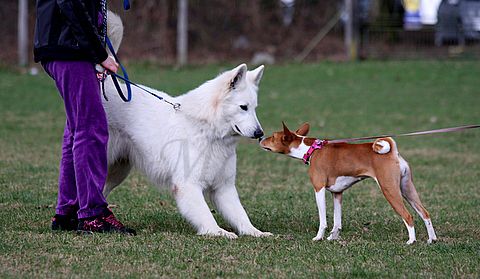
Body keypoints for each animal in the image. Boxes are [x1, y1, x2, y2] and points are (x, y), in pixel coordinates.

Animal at [102, 13, 272, 240]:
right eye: (243, 107)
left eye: (254, 108)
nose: (260, 133)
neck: (208, 131)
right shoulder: (188, 185)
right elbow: (206, 216)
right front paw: (218, 232)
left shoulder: (224, 188)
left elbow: (241, 216)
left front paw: (256, 232)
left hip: (119, 170)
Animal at [260, 123, 436, 245]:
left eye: (273, 137)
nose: (260, 138)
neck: (312, 149)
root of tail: (393, 152)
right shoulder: (337, 193)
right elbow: (337, 222)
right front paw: (333, 238)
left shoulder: (319, 189)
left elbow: (323, 221)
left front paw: (319, 238)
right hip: (407, 190)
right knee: (425, 213)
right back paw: (432, 239)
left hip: (389, 190)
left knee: (408, 216)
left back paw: (411, 241)